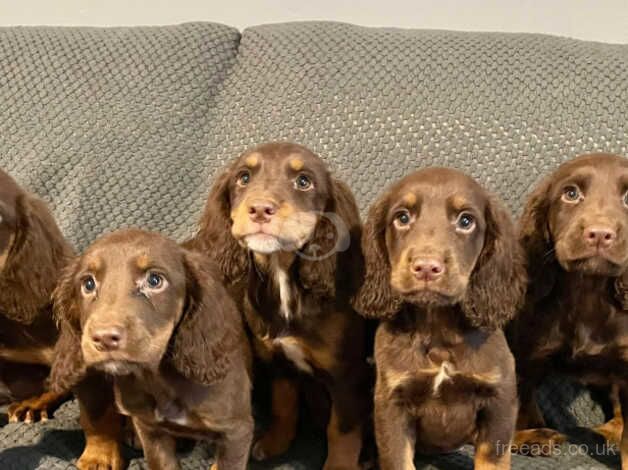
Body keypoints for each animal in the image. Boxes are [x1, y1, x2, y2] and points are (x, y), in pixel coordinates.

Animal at [49, 229, 253, 470]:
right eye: (88, 284)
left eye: (154, 280)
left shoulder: (236, 431)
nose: (104, 338)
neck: (158, 378)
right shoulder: (151, 431)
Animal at [188, 142, 372, 470]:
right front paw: (275, 443)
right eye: (243, 177)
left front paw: (339, 465)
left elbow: (341, 432)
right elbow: (284, 404)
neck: (283, 276)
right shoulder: (277, 359)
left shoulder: (347, 376)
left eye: (304, 181)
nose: (260, 209)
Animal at [356, 169, 528, 470]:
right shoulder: (391, 404)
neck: (436, 327)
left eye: (466, 221)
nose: (426, 267)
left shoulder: (500, 399)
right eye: (402, 218)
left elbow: (493, 458)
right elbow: (398, 460)